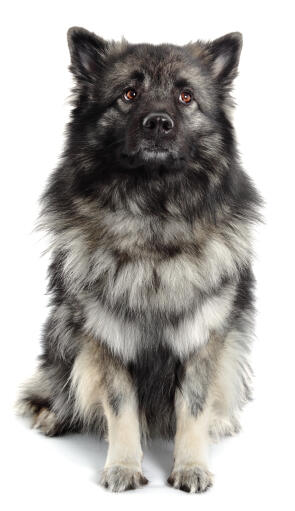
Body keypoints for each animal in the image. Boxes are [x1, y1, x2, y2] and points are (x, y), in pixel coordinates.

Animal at [16, 27, 262, 492]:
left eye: (186, 97)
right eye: (129, 94)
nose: (159, 123)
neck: (153, 217)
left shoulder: (203, 336)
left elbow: (193, 408)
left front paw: (191, 466)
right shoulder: (106, 337)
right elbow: (121, 410)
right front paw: (124, 467)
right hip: (62, 328)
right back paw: (53, 413)